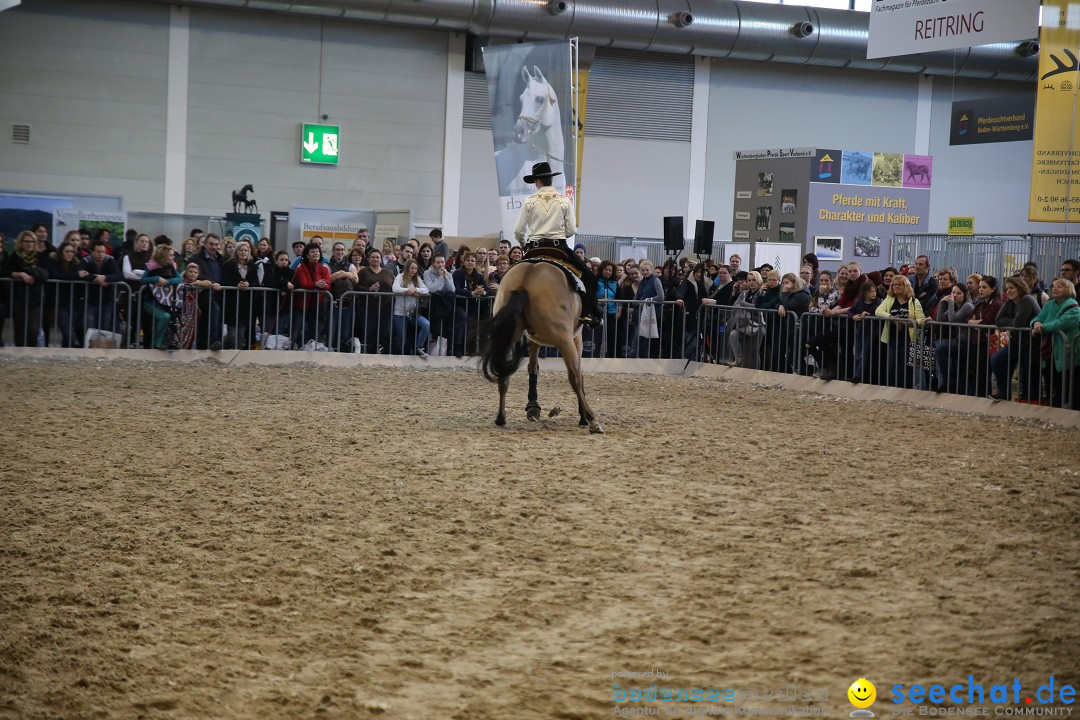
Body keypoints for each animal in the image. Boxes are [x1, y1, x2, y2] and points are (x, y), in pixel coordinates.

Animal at [479, 262, 604, 436]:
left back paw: (501, 418)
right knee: (575, 378)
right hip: (564, 339)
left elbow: (533, 367)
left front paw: (533, 406)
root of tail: (526, 280)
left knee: (503, 377)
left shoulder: (534, 338)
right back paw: (592, 420)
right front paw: (583, 418)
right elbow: (579, 374)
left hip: (508, 337)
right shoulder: (575, 337)